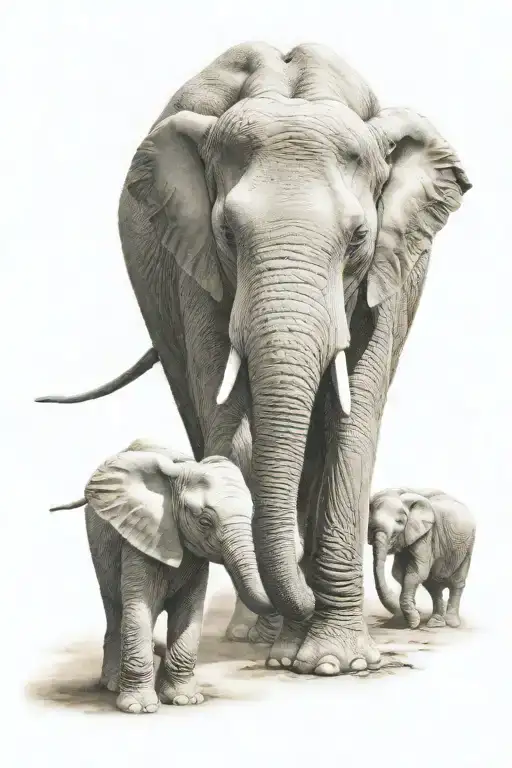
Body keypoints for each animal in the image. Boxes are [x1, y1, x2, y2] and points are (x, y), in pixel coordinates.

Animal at [50, 437, 272, 714]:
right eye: (205, 522)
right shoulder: (139, 537)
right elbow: (139, 609)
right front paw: (139, 708)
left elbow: (189, 612)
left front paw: (185, 700)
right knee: (115, 608)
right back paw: (111, 685)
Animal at [368, 488, 476, 629]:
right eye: (369, 525)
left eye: (399, 521)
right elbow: (398, 573)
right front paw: (413, 617)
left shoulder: (427, 534)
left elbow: (416, 572)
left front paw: (413, 622)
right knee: (433, 585)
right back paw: (436, 622)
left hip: (468, 545)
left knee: (457, 581)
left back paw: (452, 623)